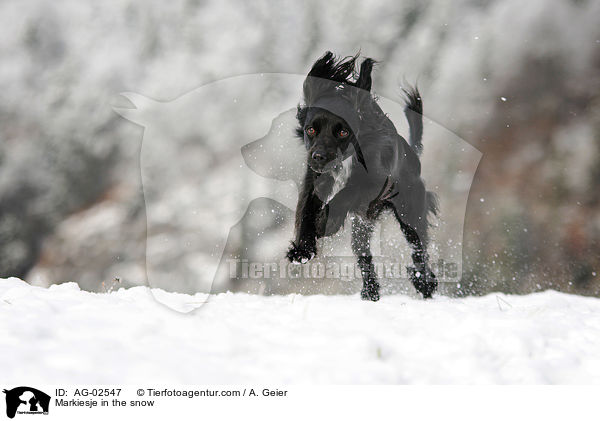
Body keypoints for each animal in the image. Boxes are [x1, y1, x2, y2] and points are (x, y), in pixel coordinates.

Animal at [286, 52, 436, 300]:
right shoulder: (312, 180)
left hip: (410, 212)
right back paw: (370, 290)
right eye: (311, 129)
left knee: (418, 248)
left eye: (343, 131)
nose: (318, 157)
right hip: (362, 226)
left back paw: (424, 283)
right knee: (363, 253)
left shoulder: (376, 182)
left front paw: (328, 220)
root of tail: (414, 156)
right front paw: (302, 249)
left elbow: (348, 192)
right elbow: (306, 209)